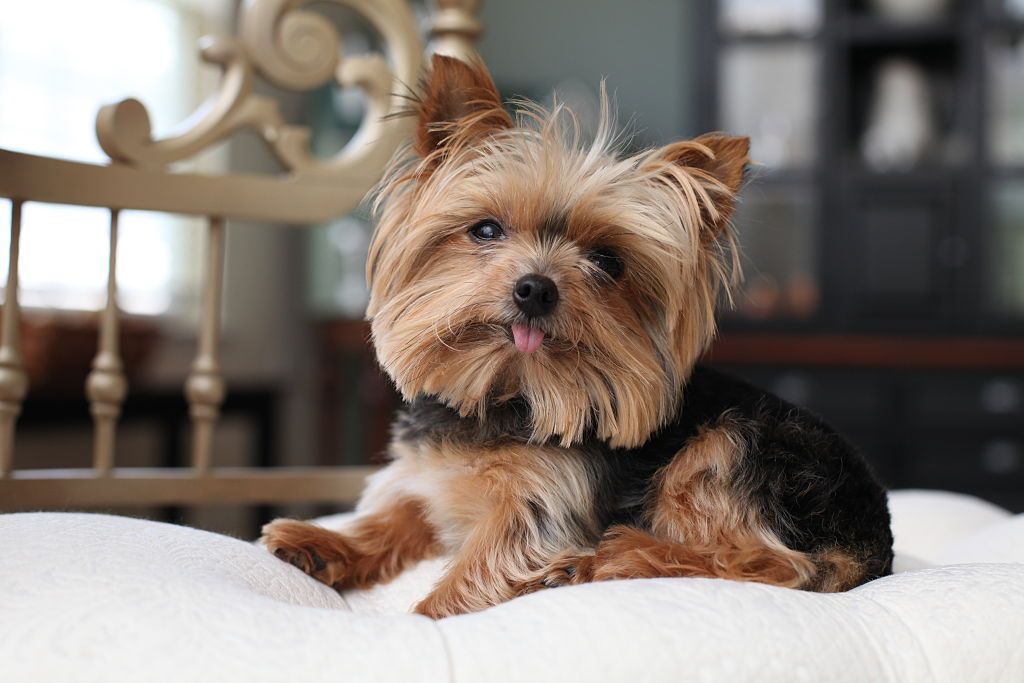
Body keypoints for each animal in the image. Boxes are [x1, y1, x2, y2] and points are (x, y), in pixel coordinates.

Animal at [264, 54, 897, 618]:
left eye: (607, 261)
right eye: (486, 229)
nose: (535, 289)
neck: (506, 393)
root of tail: (874, 543)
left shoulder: (542, 502)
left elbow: (486, 563)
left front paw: (423, 618)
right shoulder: (427, 478)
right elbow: (393, 516)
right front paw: (320, 543)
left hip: (732, 449)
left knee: (772, 562)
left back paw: (612, 556)